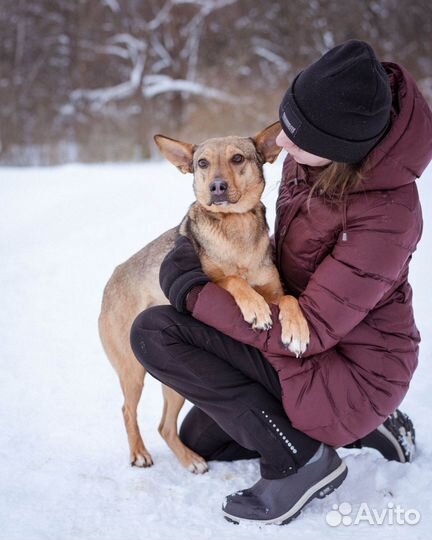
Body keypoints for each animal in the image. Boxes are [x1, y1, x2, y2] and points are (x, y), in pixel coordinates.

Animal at [98, 121, 308, 472]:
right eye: (202, 163)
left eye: (238, 158)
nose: (217, 187)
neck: (235, 226)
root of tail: (111, 280)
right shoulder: (212, 279)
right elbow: (233, 280)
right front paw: (255, 309)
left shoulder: (275, 292)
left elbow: (289, 300)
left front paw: (297, 330)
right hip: (132, 369)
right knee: (128, 410)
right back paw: (139, 453)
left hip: (172, 384)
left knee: (165, 426)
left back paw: (190, 460)